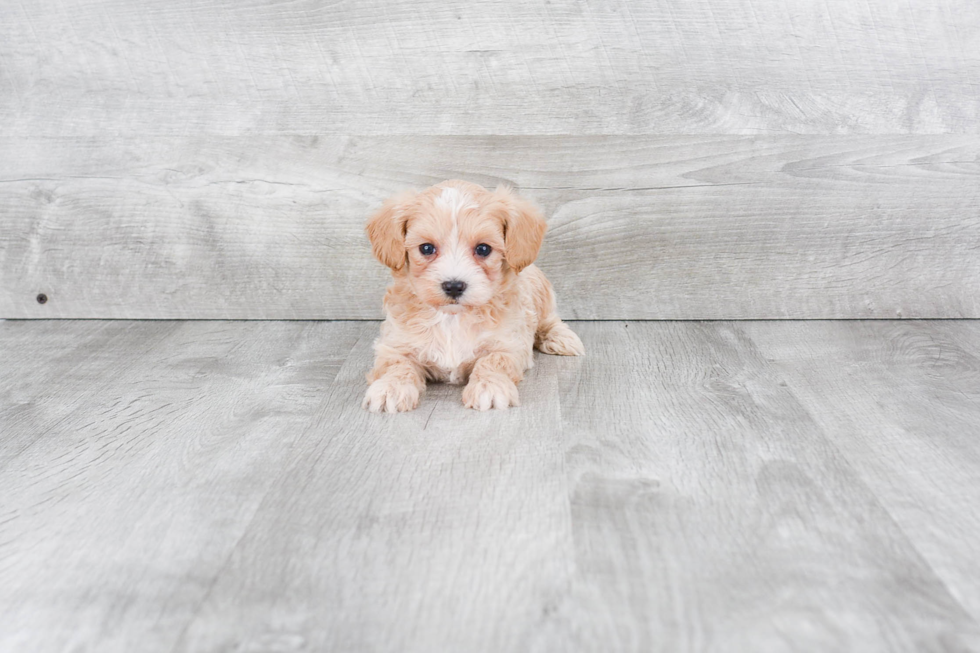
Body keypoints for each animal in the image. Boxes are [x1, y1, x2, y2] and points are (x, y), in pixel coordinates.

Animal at [366, 180, 584, 412]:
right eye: (426, 248)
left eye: (483, 249)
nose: (453, 286)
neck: (452, 318)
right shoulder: (394, 345)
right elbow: (397, 364)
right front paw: (390, 388)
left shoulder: (510, 345)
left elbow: (493, 360)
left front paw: (490, 387)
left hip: (540, 292)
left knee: (549, 320)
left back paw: (562, 338)